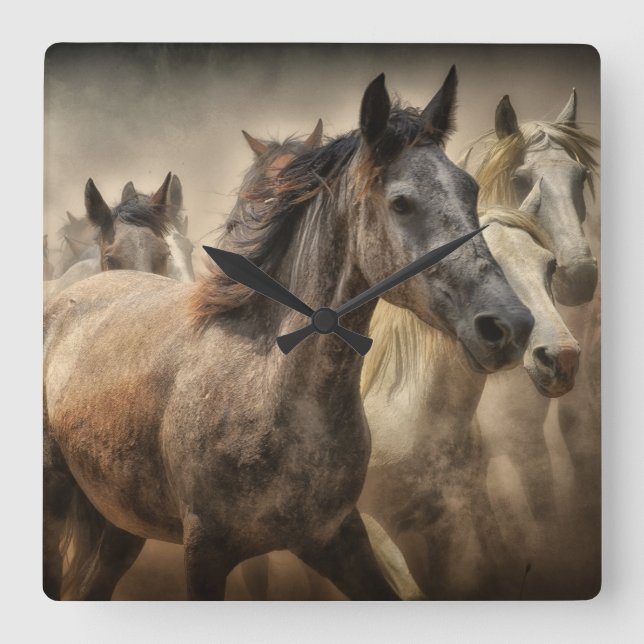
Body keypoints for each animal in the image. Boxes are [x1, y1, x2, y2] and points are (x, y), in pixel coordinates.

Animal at [44, 68, 534, 601]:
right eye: (402, 202)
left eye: (470, 190)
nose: (509, 326)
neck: (269, 387)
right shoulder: (206, 552)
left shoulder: (336, 537)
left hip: (121, 526)